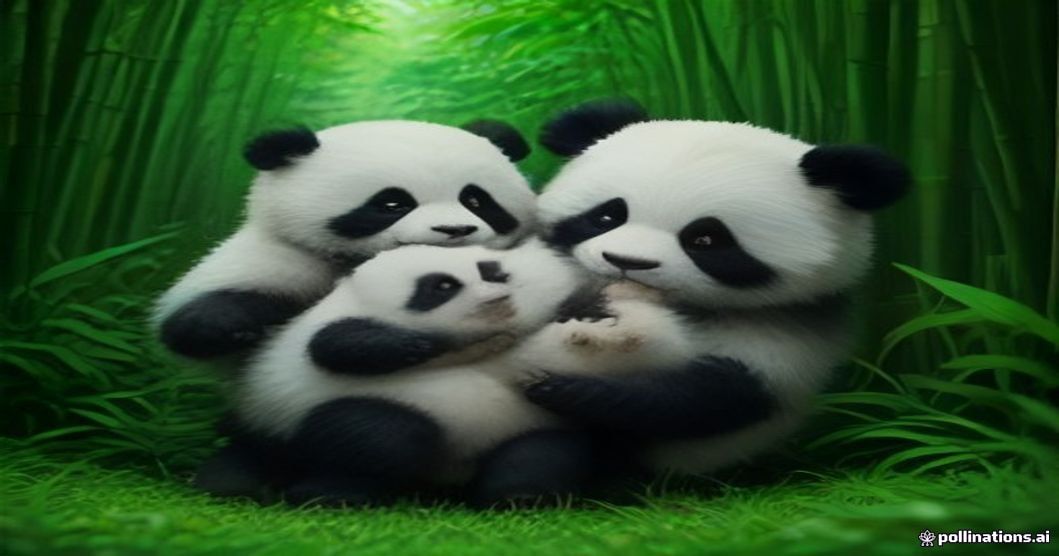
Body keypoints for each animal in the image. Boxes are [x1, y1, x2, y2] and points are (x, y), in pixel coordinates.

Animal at [153, 119, 536, 360]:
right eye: (392, 203)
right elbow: (191, 321)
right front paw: (226, 326)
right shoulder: (293, 254)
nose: (455, 229)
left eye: (475, 200)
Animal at [212, 240, 603, 506]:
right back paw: (329, 495)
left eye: (492, 271)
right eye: (442, 286)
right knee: (374, 436)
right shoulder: (333, 325)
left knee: (542, 452)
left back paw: (521, 495)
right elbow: (335, 344)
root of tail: (454, 473)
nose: (498, 296)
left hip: (531, 424)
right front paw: (419, 345)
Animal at [515, 99, 911, 476]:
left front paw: (564, 389)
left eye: (705, 239)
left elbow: (705, 399)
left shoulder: (785, 332)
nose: (627, 261)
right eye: (608, 216)